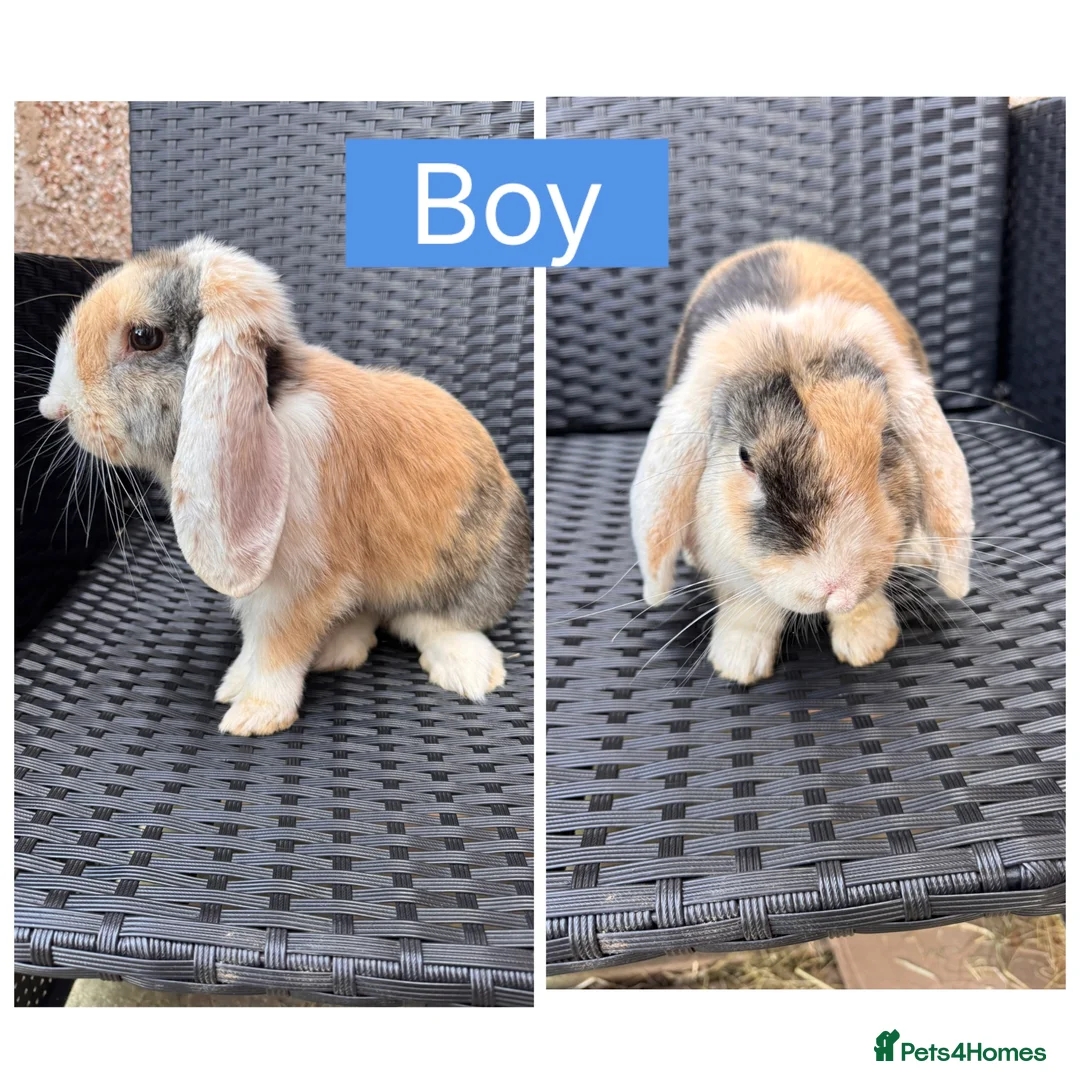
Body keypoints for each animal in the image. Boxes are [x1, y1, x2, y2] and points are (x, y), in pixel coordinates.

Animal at [38, 236, 530, 735]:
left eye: (143, 336)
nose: (53, 408)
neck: (273, 405)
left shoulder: (298, 584)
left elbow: (277, 648)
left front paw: (255, 714)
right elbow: (254, 643)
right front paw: (234, 684)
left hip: (465, 575)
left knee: (430, 621)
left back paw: (469, 673)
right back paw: (337, 649)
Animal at [632, 238, 973, 685]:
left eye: (884, 442)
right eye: (745, 458)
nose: (837, 587)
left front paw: (868, 645)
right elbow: (748, 606)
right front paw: (737, 664)